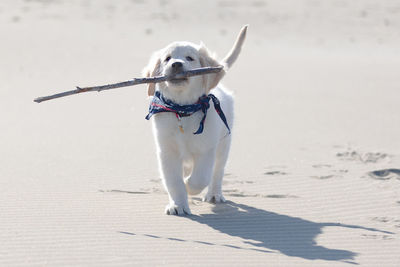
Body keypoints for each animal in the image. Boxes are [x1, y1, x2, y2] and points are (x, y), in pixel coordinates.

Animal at [142, 26, 245, 217]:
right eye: (167, 58)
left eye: (190, 58)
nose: (176, 64)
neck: (183, 110)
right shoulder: (168, 152)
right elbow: (174, 182)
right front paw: (178, 205)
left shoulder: (206, 149)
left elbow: (200, 178)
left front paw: (189, 186)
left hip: (224, 144)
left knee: (217, 171)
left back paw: (214, 194)